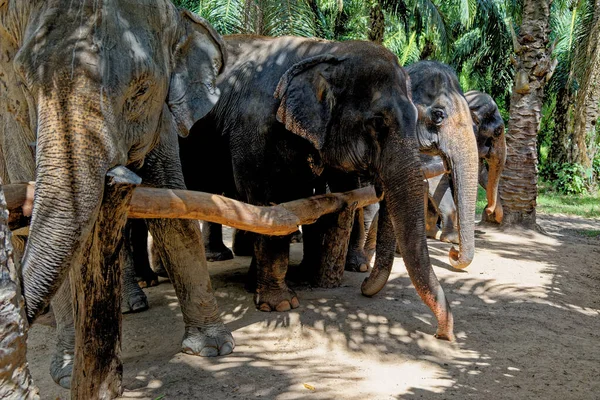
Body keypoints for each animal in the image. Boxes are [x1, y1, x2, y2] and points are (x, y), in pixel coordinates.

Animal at [1, 0, 237, 390]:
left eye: (141, 91)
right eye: (26, 82)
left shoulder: (161, 119)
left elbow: (174, 209)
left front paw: (213, 348)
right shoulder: (11, 116)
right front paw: (67, 373)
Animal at [178, 35, 454, 340]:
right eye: (377, 122)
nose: (442, 334)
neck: (324, 50)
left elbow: (295, 200)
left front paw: (256, 285)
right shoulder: (252, 130)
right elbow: (265, 203)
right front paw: (281, 305)